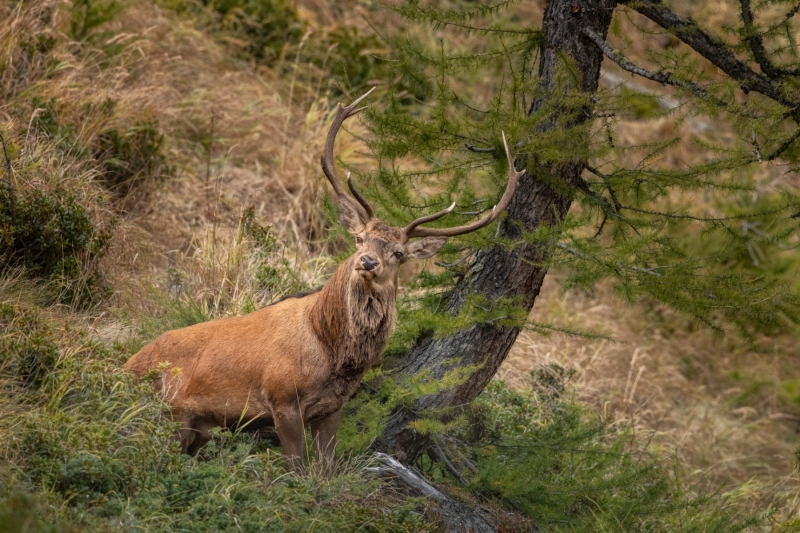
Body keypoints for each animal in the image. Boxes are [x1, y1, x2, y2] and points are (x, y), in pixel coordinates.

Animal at [124, 88, 524, 474]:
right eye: (360, 238)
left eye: (398, 253)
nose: (367, 262)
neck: (332, 353)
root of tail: (126, 366)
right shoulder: (281, 398)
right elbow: (298, 471)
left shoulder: (332, 408)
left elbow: (326, 470)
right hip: (168, 413)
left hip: (195, 428)